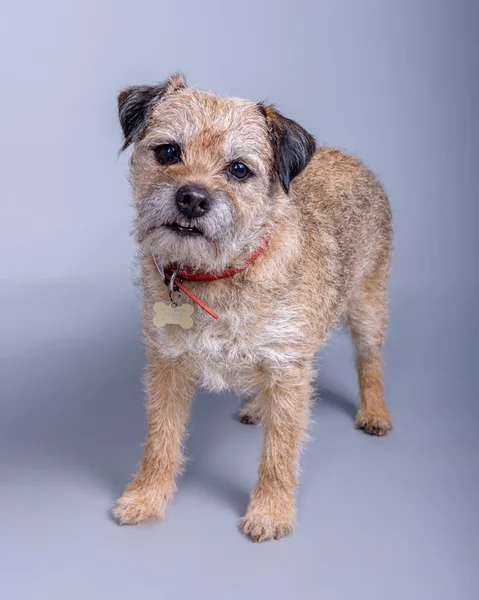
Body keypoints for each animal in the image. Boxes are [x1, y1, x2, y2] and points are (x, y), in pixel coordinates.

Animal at [112, 72, 394, 540]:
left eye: (239, 169)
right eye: (168, 151)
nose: (192, 198)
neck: (218, 276)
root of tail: (350, 157)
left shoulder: (287, 366)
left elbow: (280, 452)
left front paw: (270, 511)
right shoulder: (168, 365)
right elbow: (160, 439)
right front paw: (146, 497)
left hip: (368, 305)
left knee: (369, 361)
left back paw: (374, 411)